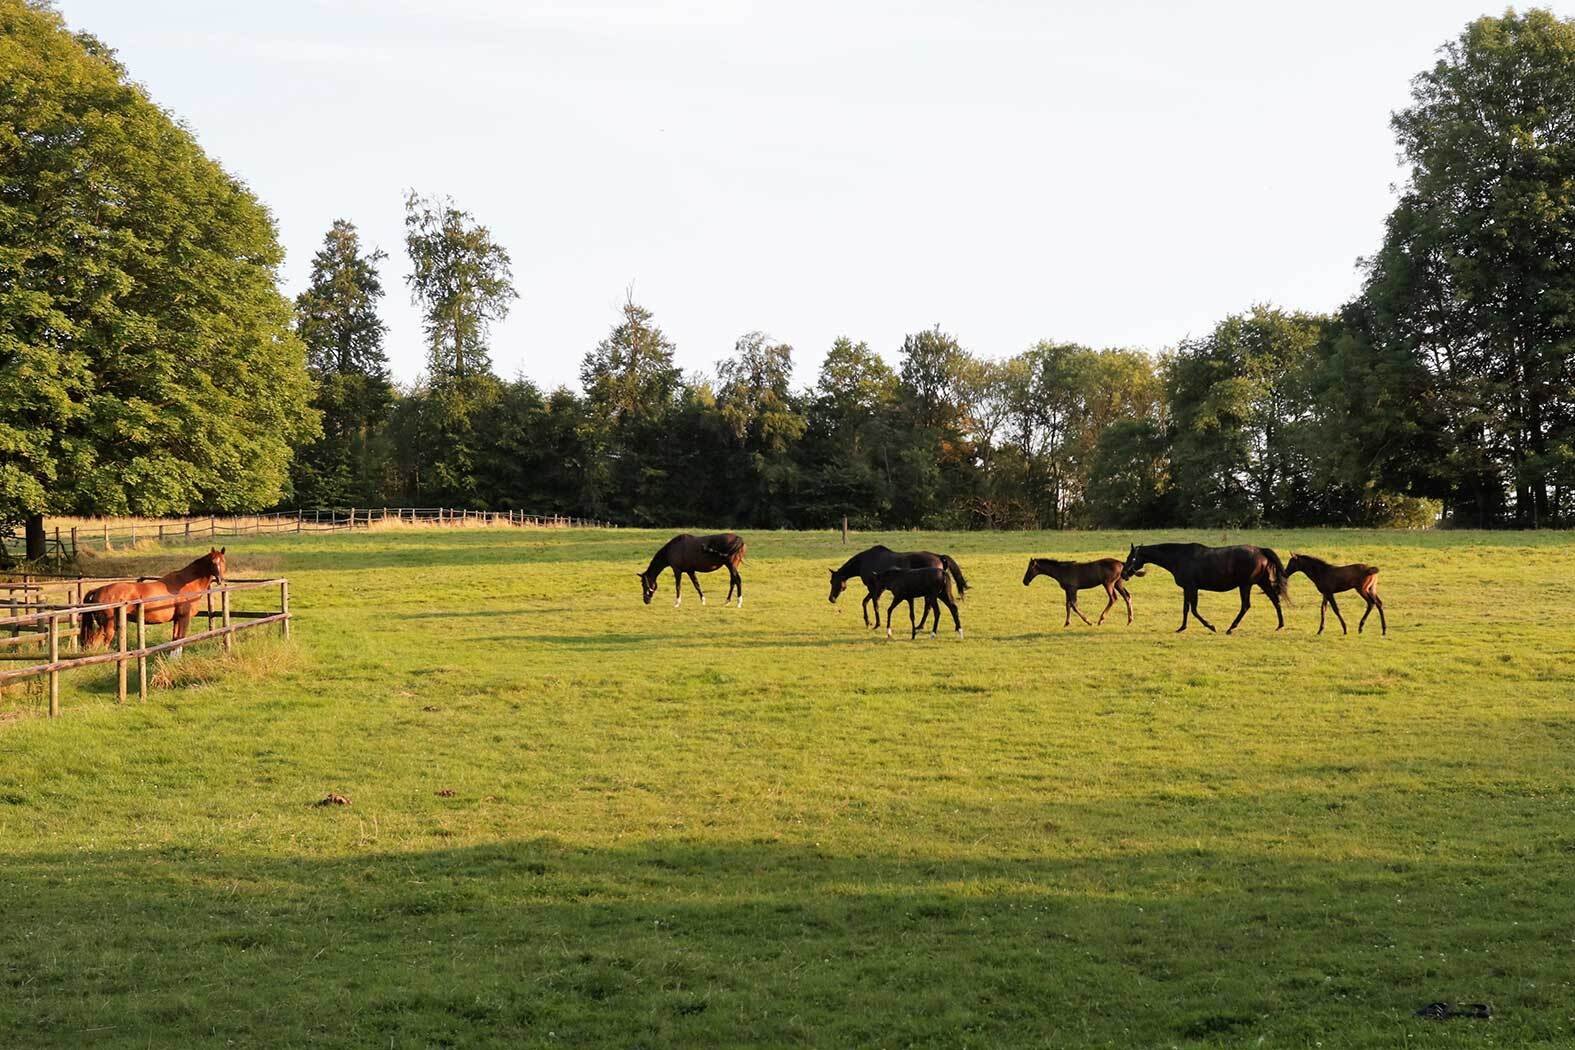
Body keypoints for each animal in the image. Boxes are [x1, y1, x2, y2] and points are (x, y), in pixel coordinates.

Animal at [77, 550, 226, 658]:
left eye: (223, 561)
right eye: (212, 562)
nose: (220, 579)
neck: (185, 584)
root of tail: (98, 590)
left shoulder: (177, 619)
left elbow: (175, 638)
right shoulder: (184, 617)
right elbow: (181, 638)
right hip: (107, 626)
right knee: (98, 642)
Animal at [831, 547, 963, 629]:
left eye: (832, 581)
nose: (831, 598)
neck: (864, 561)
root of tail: (939, 557)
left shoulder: (874, 587)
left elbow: (874, 604)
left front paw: (877, 623)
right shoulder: (878, 588)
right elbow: (865, 602)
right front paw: (868, 622)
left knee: (928, 607)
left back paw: (920, 625)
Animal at [1115, 541, 1285, 632]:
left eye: (1131, 557)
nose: (1123, 574)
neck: (1179, 557)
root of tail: (1261, 550)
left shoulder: (1192, 587)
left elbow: (1194, 610)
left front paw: (1211, 626)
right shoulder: (1186, 588)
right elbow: (1186, 608)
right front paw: (1182, 627)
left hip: (1246, 585)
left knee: (1246, 605)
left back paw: (1231, 628)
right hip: (1261, 582)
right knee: (1275, 600)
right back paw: (1280, 625)